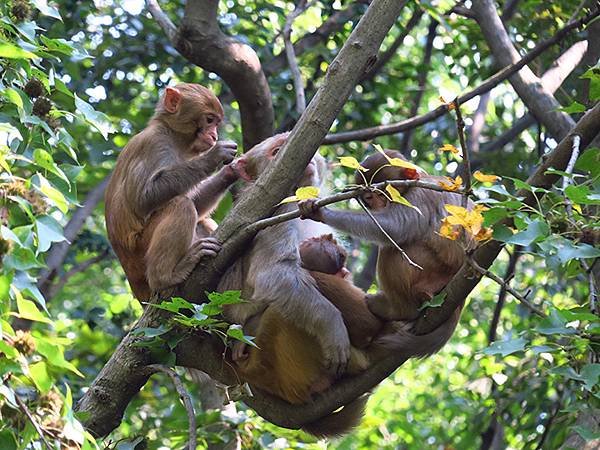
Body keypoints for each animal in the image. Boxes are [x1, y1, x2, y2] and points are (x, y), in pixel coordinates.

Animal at [105, 82, 239, 300]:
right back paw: (165, 277)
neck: (174, 137)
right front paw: (214, 156)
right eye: (209, 120)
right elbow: (142, 200)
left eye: (216, 123)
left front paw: (233, 170)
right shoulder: (154, 144)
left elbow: (198, 204)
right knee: (181, 206)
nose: (214, 136)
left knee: (199, 217)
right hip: (140, 252)